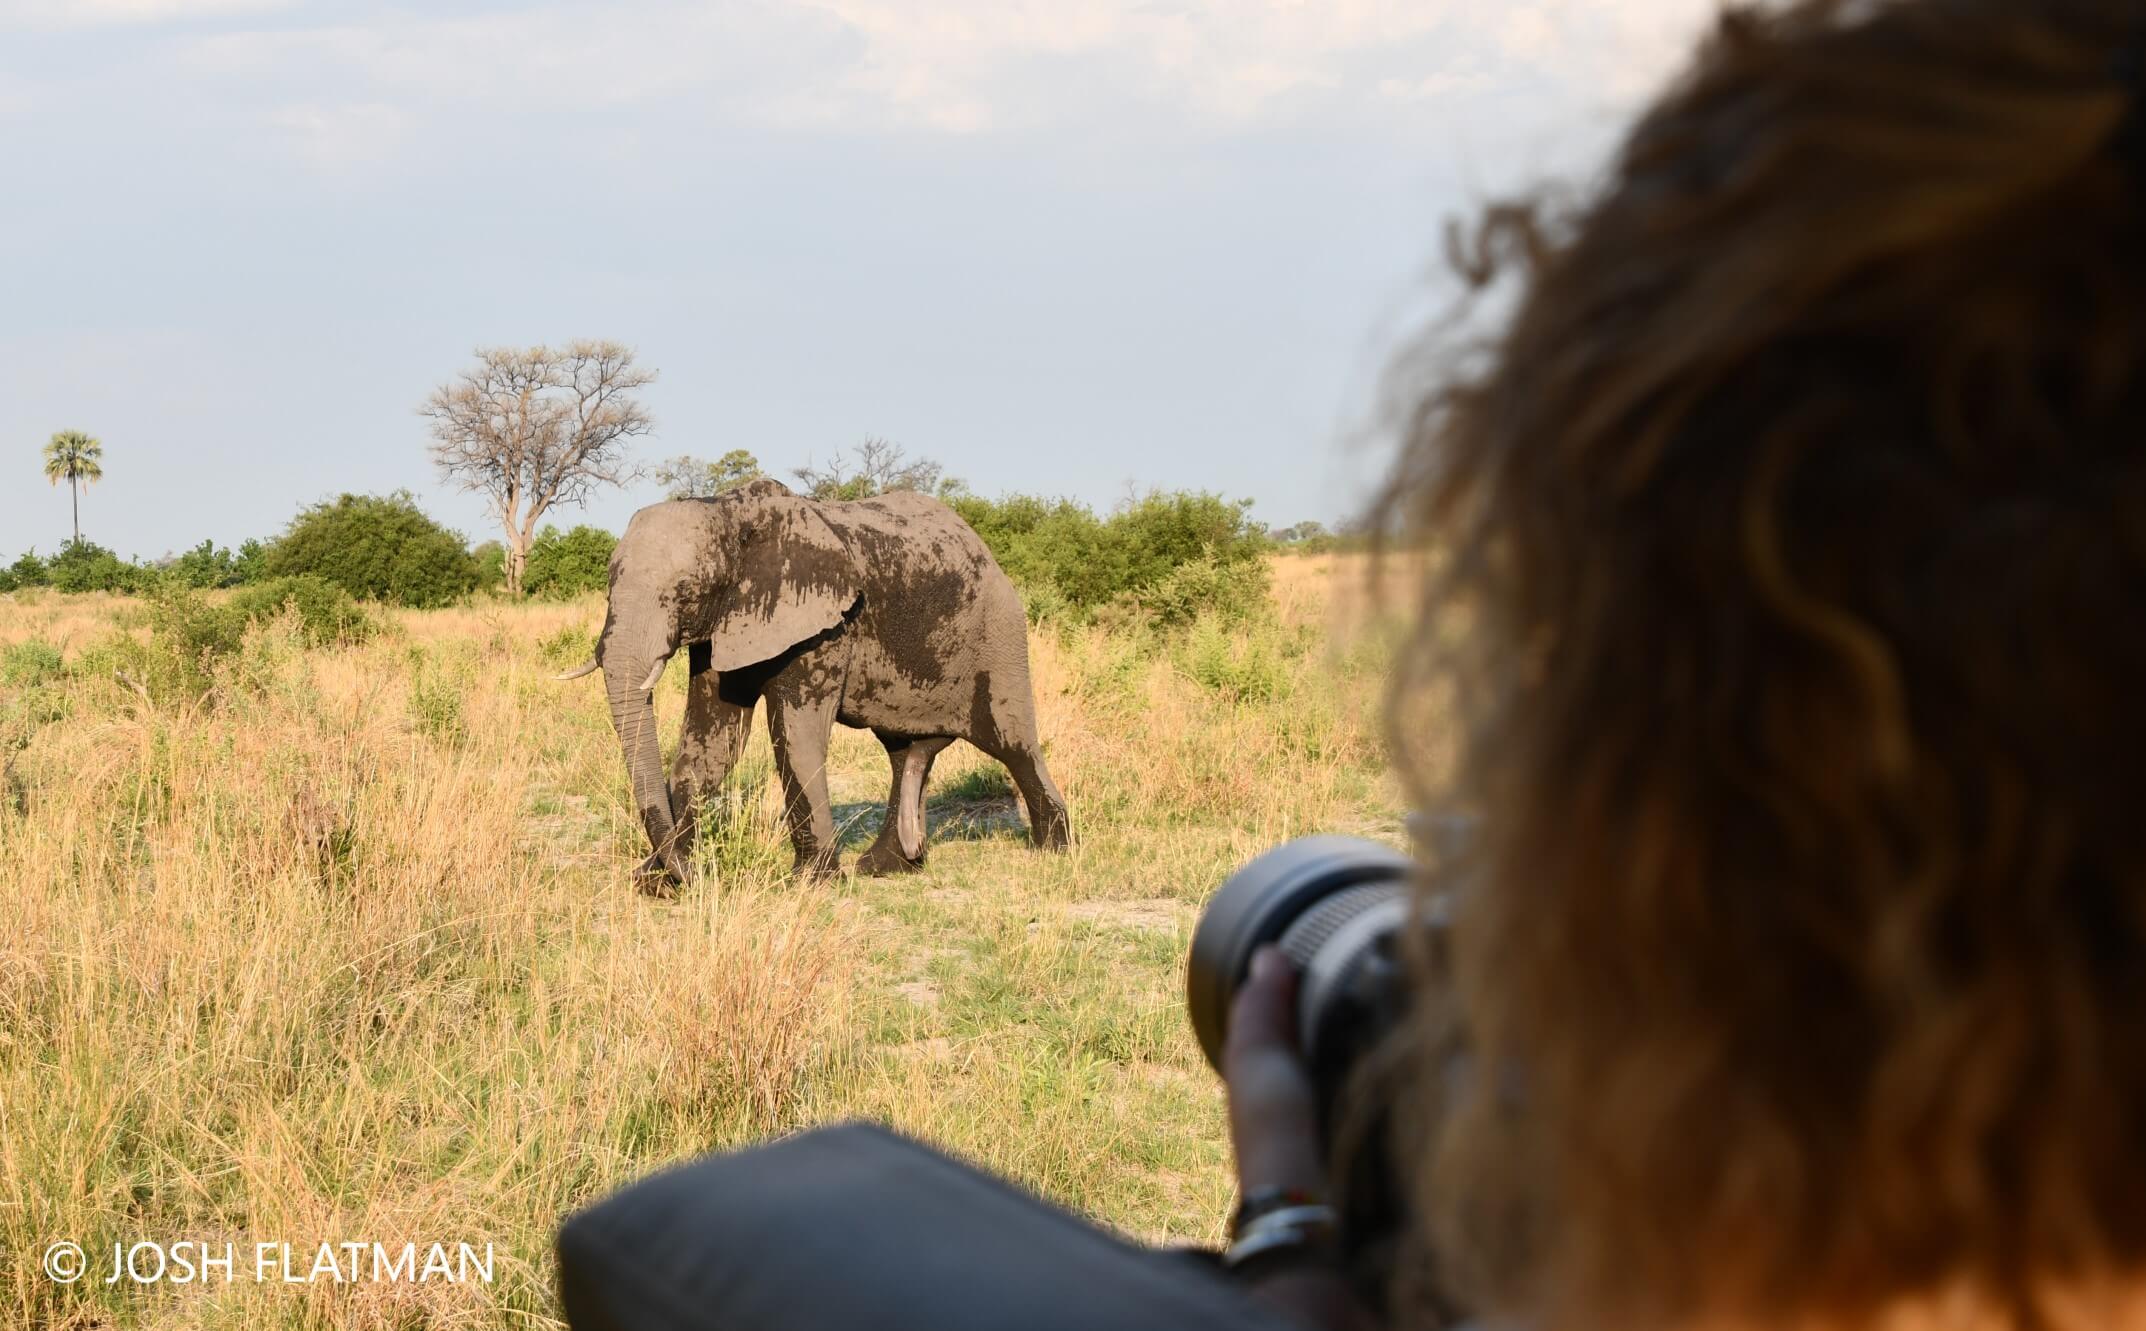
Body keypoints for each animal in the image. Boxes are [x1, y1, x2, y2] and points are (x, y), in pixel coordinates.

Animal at [562, 472, 1073, 888]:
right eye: (608, 587)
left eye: (685, 594)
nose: (701, 876)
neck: (728, 510)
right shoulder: (725, 626)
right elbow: (712, 740)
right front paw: (655, 881)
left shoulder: (822, 622)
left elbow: (795, 734)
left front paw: (810, 883)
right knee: (905, 752)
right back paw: (886, 866)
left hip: (998, 634)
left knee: (1011, 742)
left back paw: (1056, 850)